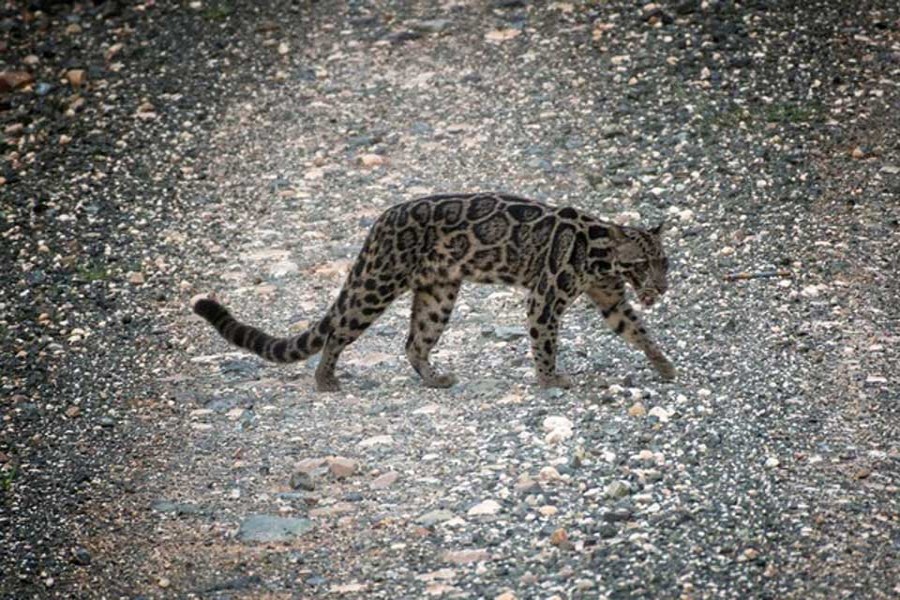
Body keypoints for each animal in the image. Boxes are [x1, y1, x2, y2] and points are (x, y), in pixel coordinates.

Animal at [197, 191, 676, 390]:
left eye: (664, 262)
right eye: (642, 264)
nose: (662, 286)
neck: (602, 255)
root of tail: (379, 221)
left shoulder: (611, 297)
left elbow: (637, 329)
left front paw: (664, 365)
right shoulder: (545, 297)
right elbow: (545, 342)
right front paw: (548, 379)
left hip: (437, 295)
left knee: (414, 342)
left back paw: (433, 379)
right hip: (377, 285)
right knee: (337, 332)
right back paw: (326, 380)